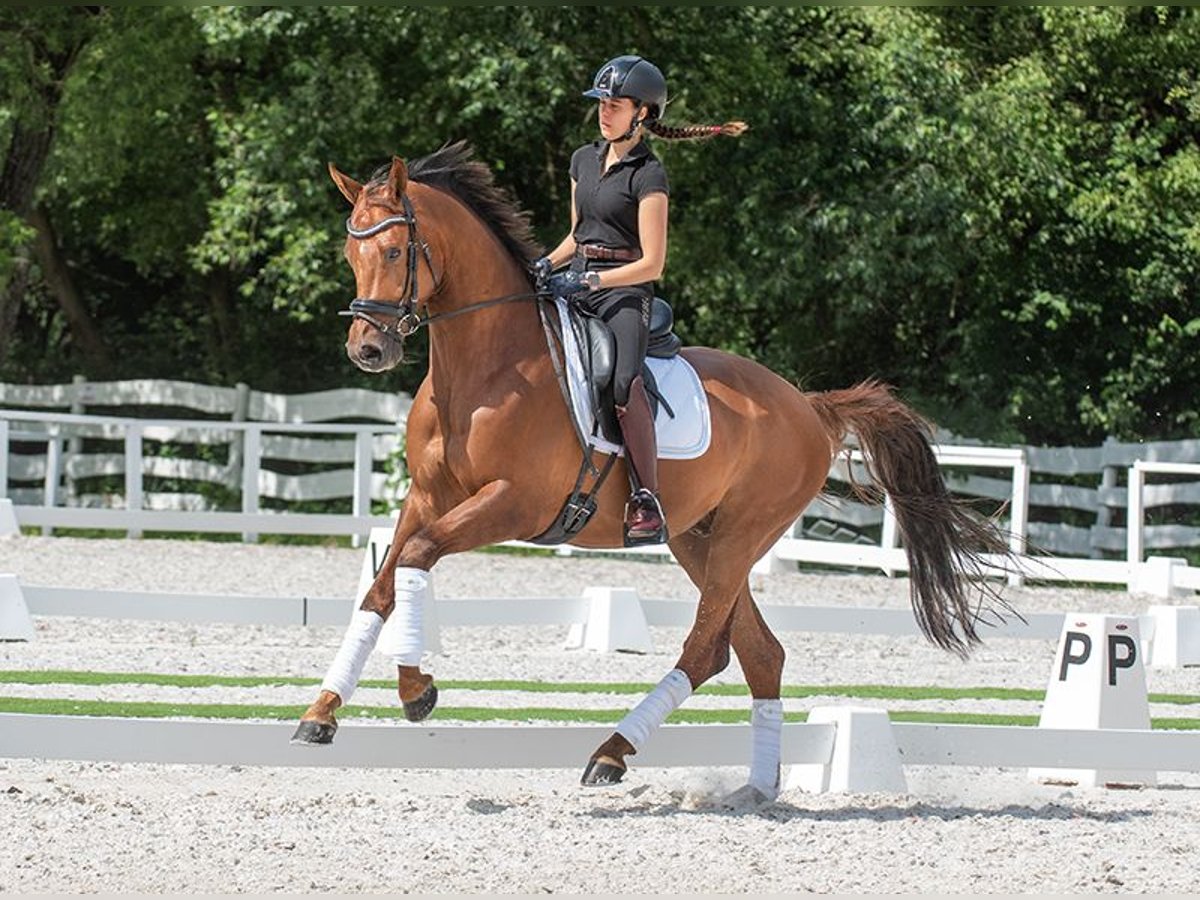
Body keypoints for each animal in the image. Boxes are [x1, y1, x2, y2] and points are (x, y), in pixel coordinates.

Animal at [292, 142, 1012, 801]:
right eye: (351, 253)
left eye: (393, 252)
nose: (368, 349)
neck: (488, 369)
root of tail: (807, 404)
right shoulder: (428, 496)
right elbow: (381, 587)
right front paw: (321, 713)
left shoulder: (513, 504)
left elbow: (416, 557)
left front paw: (417, 690)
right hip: (697, 536)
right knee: (758, 653)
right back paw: (757, 788)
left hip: (740, 536)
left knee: (706, 649)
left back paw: (610, 754)